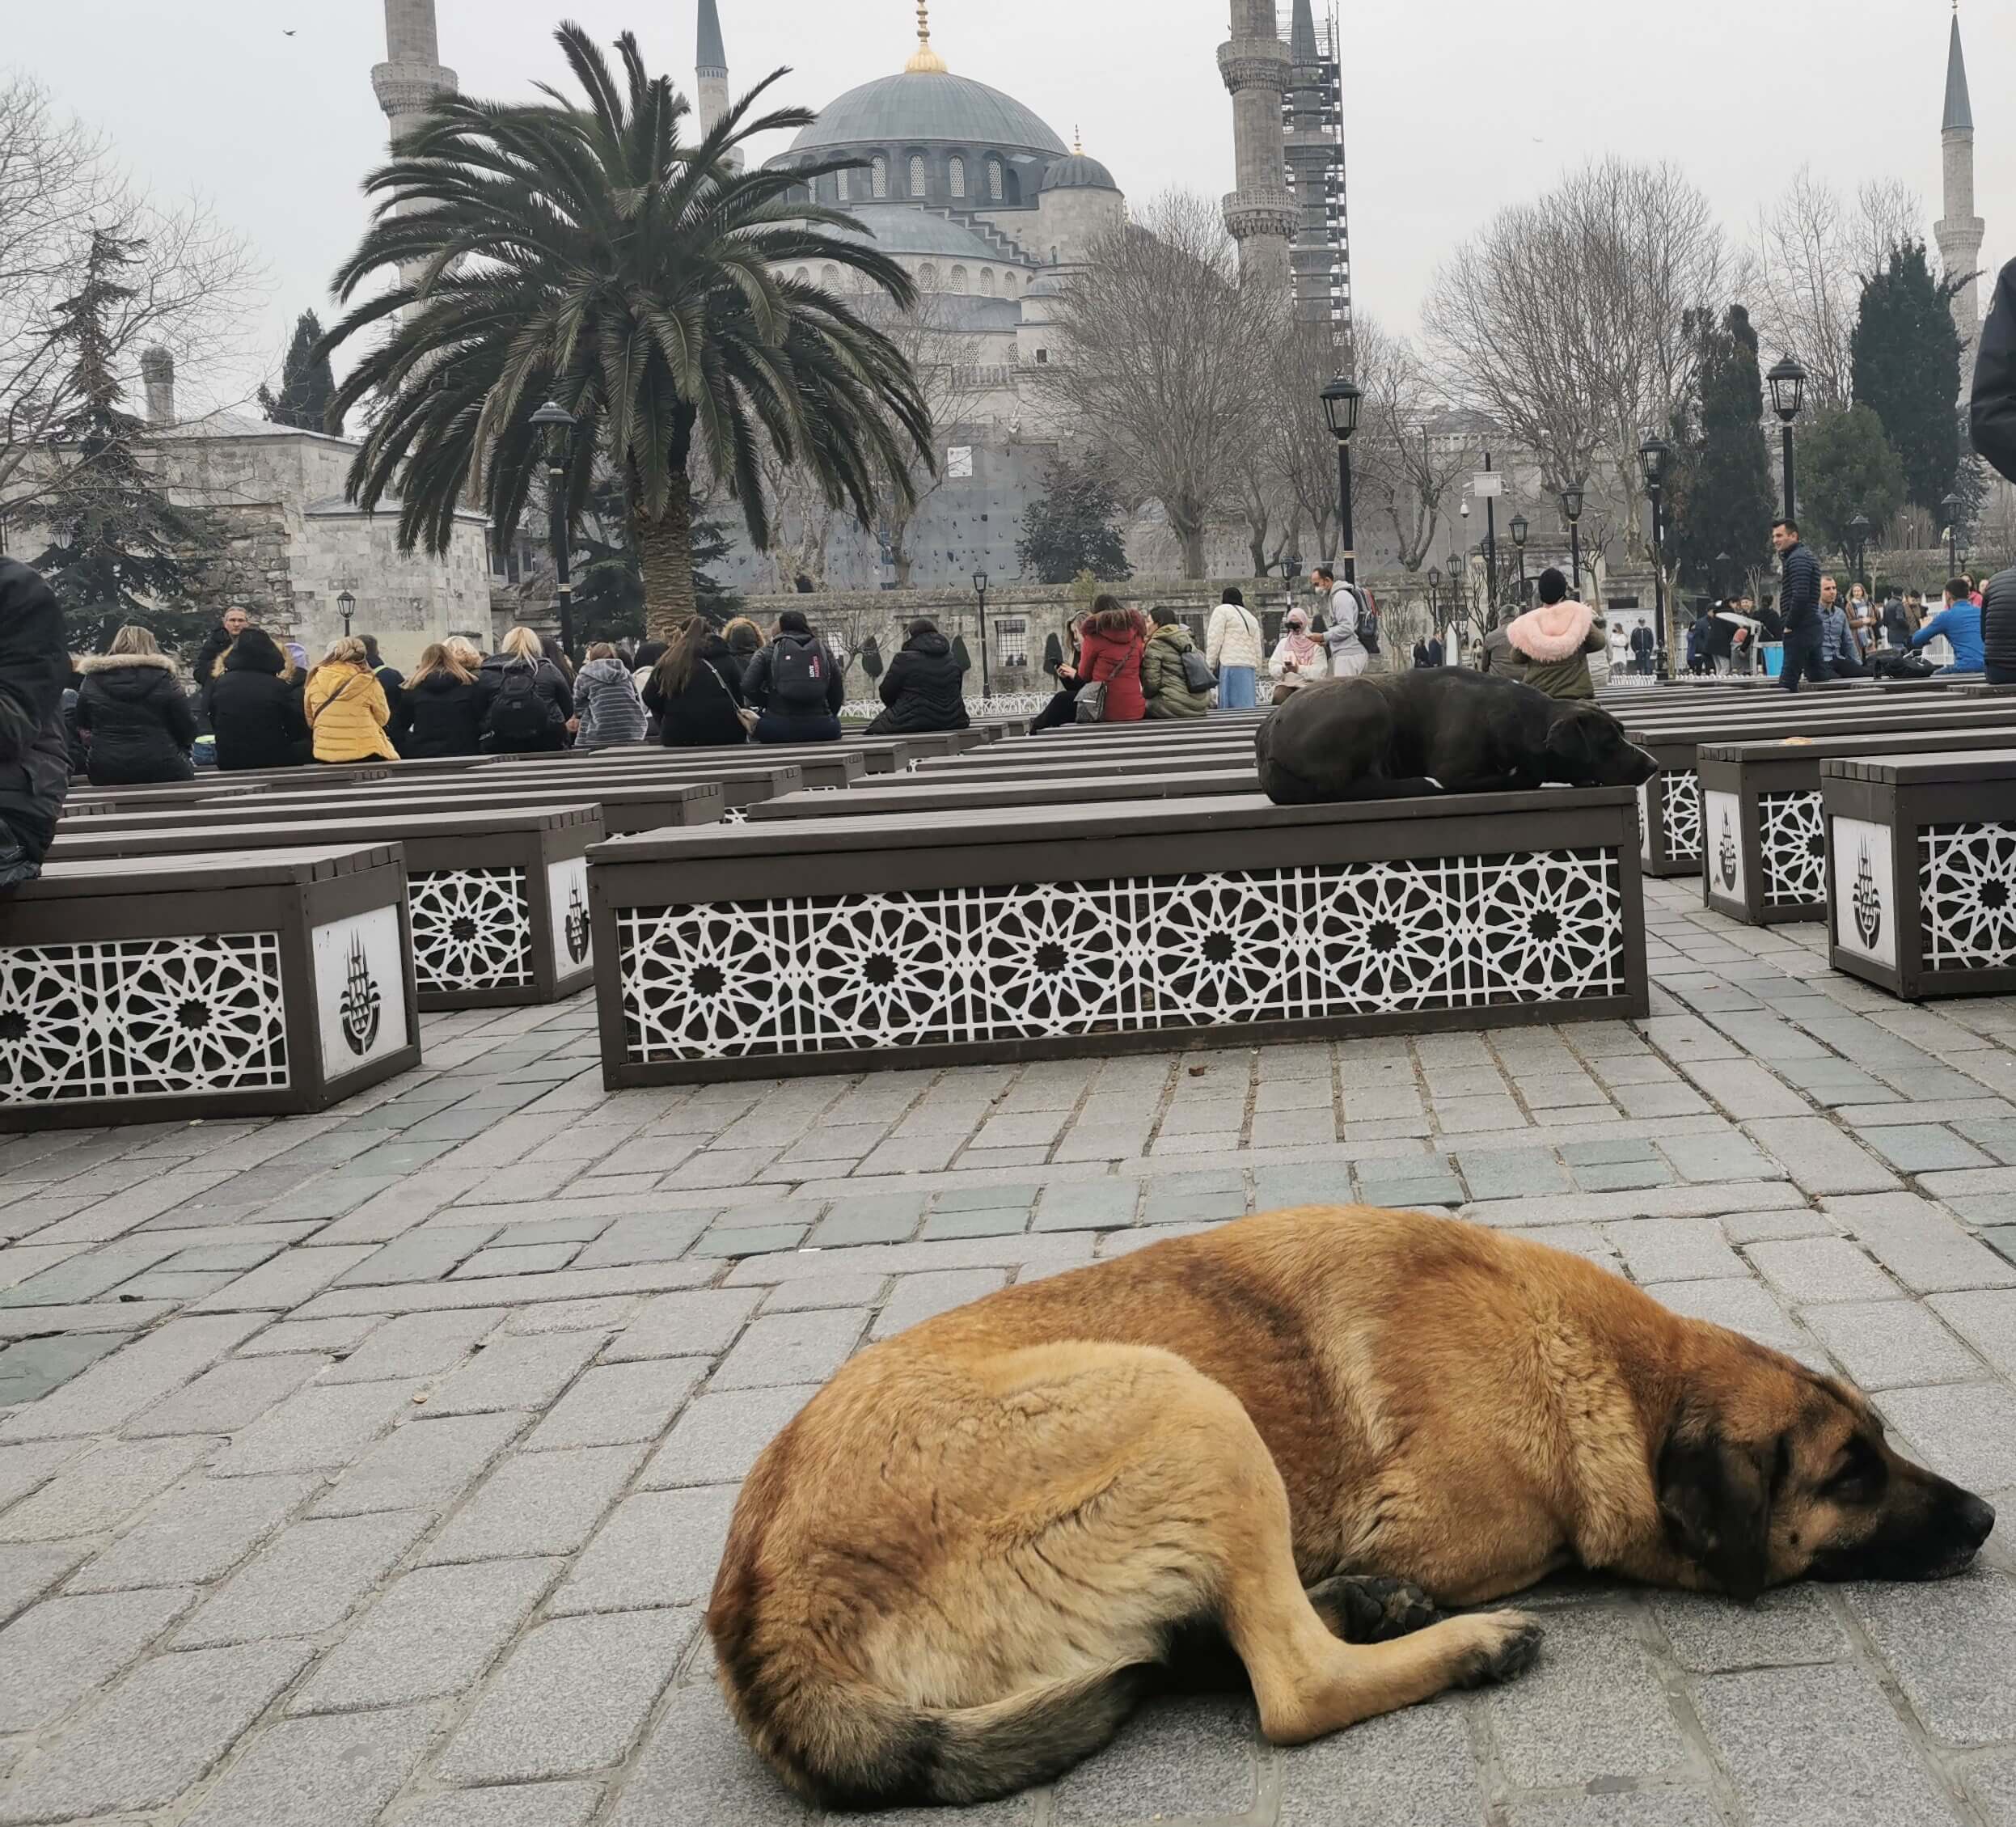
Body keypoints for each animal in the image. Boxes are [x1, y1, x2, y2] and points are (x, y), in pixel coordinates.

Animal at [701, 1202, 1992, 1799]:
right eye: (1850, 1473)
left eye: (1883, 1444)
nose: (1984, 1517)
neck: (1619, 1380)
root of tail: (765, 1611)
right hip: (1195, 1410)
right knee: (1291, 1686)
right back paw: (1459, 1642)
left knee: (1208, 1651)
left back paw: (1371, 1608)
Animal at [1249, 665, 1661, 802]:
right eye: (1609, 742)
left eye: (1622, 733)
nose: (1654, 765)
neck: (1521, 718)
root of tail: (1266, 737)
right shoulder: (1455, 772)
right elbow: (1520, 776)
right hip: (1367, 696)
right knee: (1354, 785)